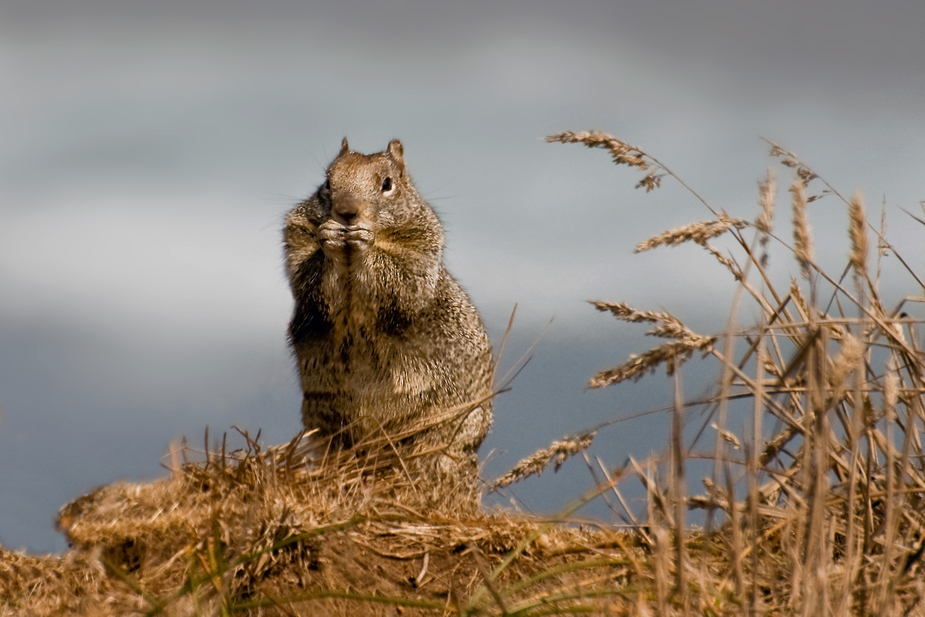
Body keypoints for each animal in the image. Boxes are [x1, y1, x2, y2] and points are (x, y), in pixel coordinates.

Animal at [282, 137, 494, 470]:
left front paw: (365, 242)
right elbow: (308, 280)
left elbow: (401, 283)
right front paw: (329, 236)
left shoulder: (419, 252)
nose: (346, 212)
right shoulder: (298, 240)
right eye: (327, 182)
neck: (349, 258)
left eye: (387, 184)